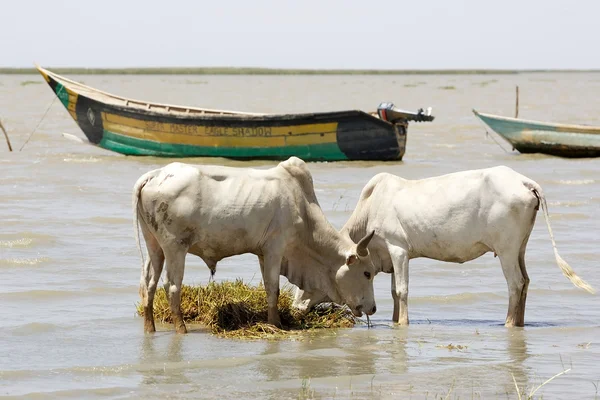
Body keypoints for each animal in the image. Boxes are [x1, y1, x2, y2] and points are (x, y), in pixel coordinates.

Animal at [134, 157, 378, 334]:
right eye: (367, 273)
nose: (373, 308)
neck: (302, 207)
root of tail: (154, 175)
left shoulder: (263, 253)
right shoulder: (275, 248)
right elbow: (273, 288)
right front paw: (275, 323)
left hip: (154, 244)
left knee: (149, 283)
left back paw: (150, 328)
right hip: (175, 246)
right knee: (172, 286)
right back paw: (181, 329)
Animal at [292, 167, 592, 326]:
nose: (296, 305)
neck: (370, 207)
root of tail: (523, 181)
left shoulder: (398, 248)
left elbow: (401, 290)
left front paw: (403, 323)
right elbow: (393, 292)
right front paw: (394, 321)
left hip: (506, 249)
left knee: (516, 283)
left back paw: (508, 324)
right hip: (520, 247)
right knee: (527, 281)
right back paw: (519, 323)